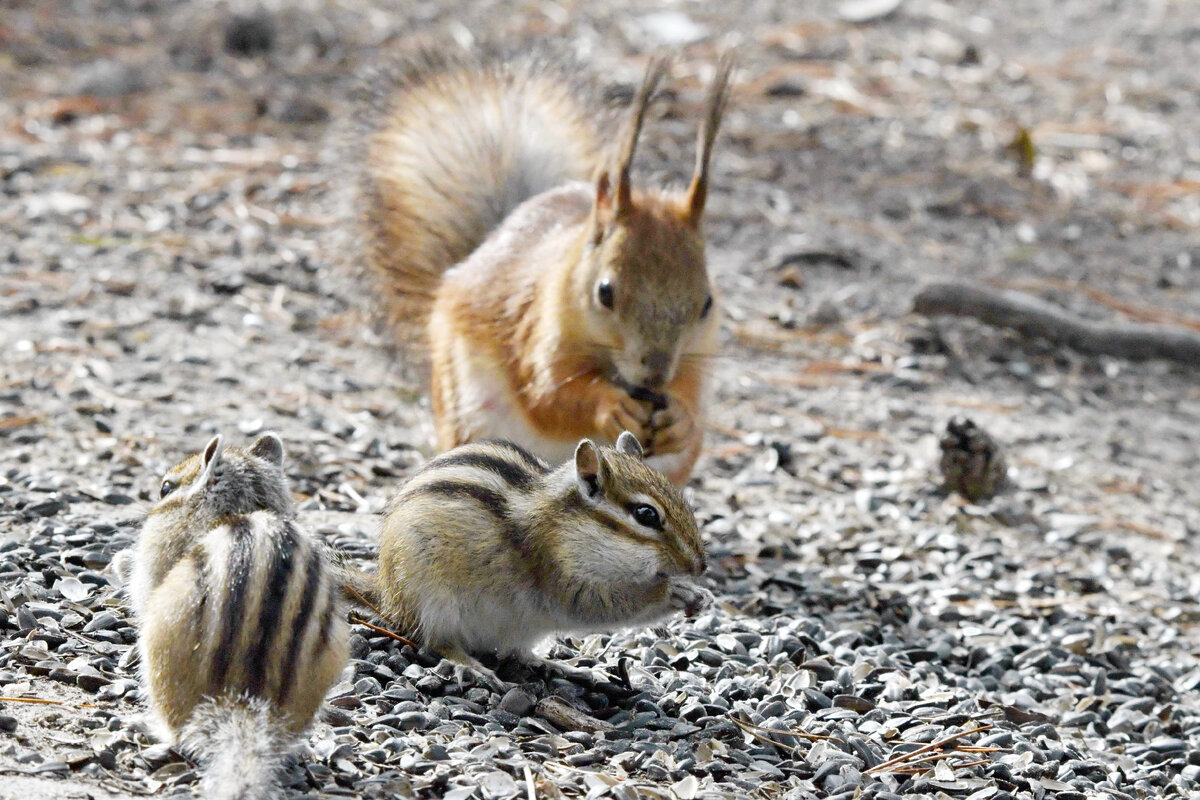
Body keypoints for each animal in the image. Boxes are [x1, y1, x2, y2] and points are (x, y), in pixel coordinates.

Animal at [357, 53, 729, 489]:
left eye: (707, 303)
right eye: (605, 292)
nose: (654, 376)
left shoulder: (698, 354)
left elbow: (691, 395)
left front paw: (680, 419)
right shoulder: (534, 333)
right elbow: (549, 397)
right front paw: (611, 405)